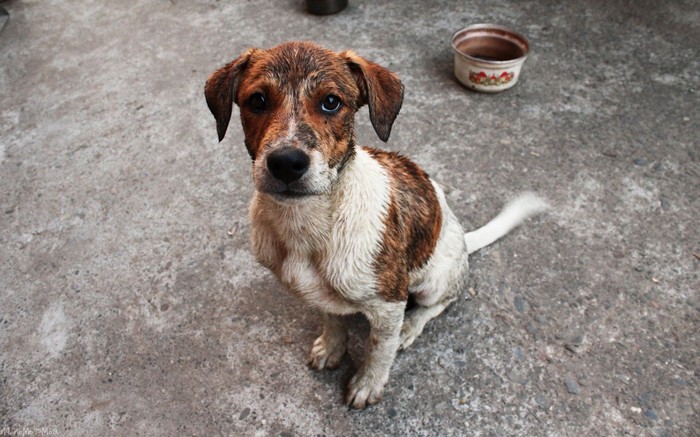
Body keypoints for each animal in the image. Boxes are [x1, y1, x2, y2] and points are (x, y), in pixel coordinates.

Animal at [202, 41, 548, 408]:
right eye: (257, 100)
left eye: (331, 102)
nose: (286, 163)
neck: (307, 225)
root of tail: (465, 239)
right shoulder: (320, 295)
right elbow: (332, 320)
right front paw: (332, 347)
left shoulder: (389, 302)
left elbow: (379, 349)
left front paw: (368, 383)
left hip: (433, 281)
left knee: (441, 302)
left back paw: (411, 327)